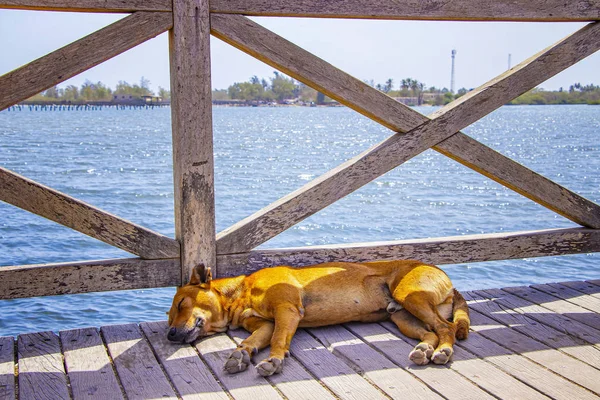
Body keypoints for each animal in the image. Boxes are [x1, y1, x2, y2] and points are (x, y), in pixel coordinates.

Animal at [168, 260, 468, 376]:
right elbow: (252, 340)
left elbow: (278, 340)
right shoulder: (264, 324)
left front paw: (274, 361)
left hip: (411, 296)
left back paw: (442, 351)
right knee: (431, 331)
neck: (240, 294)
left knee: (447, 328)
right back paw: (424, 348)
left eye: (182, 303)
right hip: (402, 317)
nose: (170, 334)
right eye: (169, 318)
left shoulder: (286, 311)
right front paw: (241, 354)